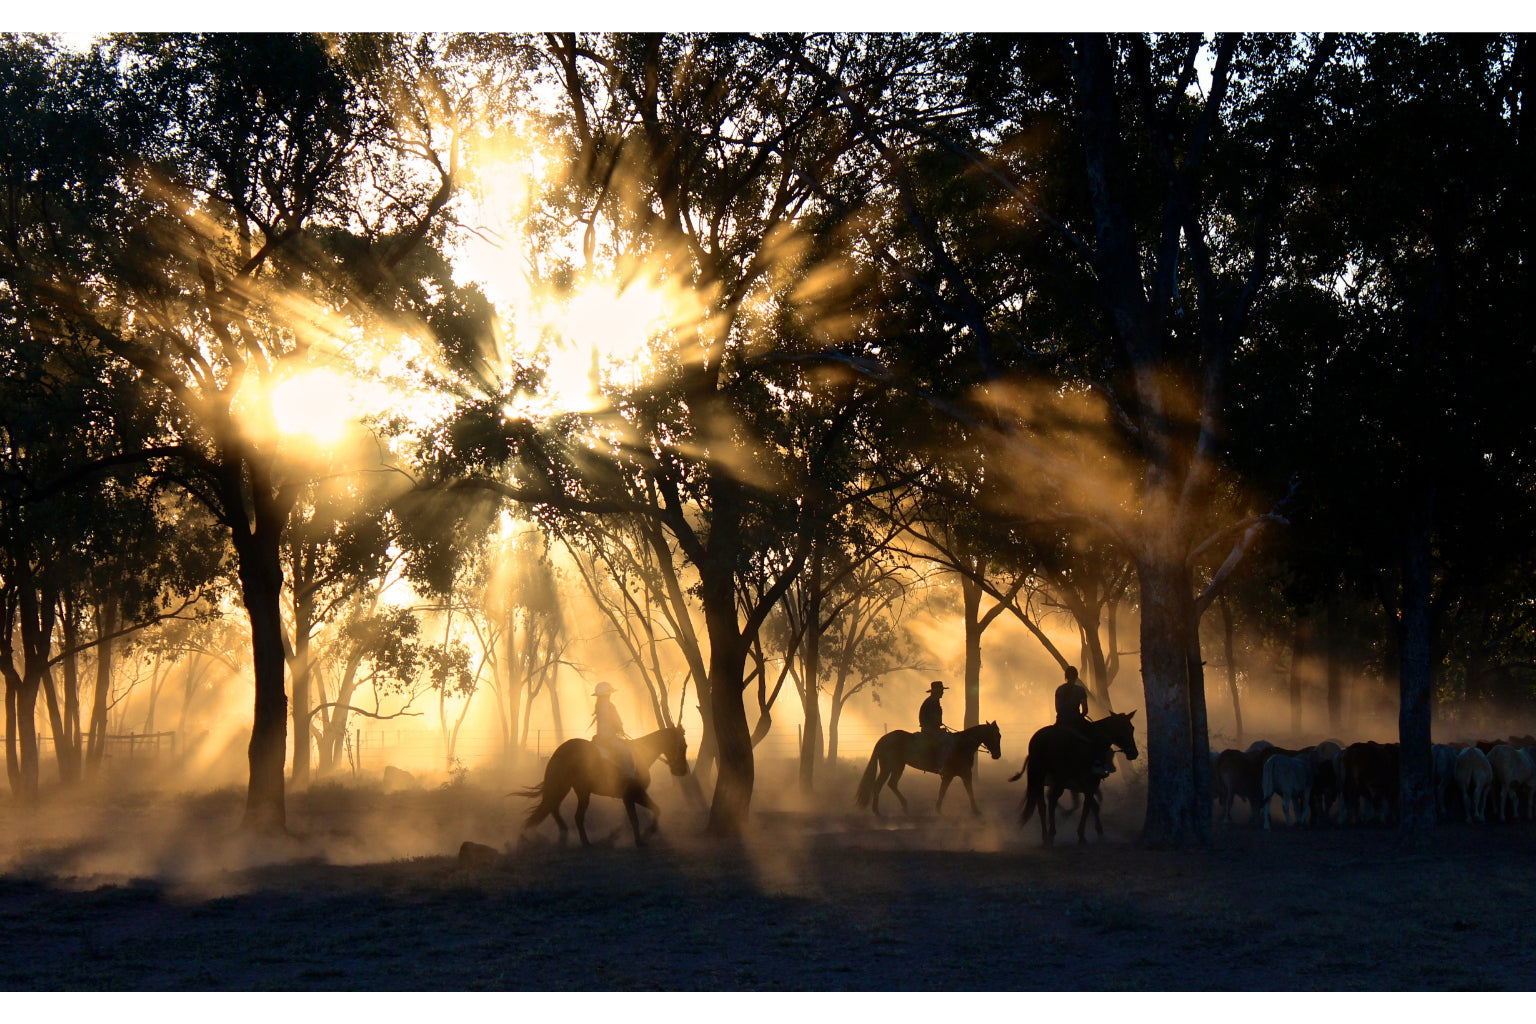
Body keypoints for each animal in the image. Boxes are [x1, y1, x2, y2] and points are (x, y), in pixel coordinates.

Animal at [519, 724, 688, 847]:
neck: (640, 754)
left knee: (554, 808)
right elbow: (636, 819)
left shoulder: (635, 795)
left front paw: (647, 833)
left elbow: (655, 810)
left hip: (567, 788)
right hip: (578, 791)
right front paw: (642, 838)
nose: (682, 770)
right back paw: (585, 843)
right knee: (575, 815)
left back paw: (565, 834)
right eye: (684, 746)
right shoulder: (631, 796)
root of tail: (560, 751)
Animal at [860, 721, 1001, 816]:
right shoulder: (958, 774)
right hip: (889, 767)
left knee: (890, 784)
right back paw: (878, 812)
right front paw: (976, 811)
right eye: (996, 735)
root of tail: (883, 739)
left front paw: (939, 809)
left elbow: (948, 791)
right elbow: (961, 791)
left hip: (897, 767)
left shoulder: (958, 774)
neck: (961, 745)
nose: (997, 755)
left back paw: (902, 806)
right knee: (880, 785)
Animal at [1013, 712, 1136, 847]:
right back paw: (1051, 834)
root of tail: (1043, 739)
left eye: (1132, 728)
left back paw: (1045, 836)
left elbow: (1093, 806)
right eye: (1126, 729)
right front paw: (1083, 835)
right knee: (1052, 800)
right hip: (1059, 779)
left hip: (1039, 778)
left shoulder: (1082, 785)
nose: (1134, 753)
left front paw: (1098, 832)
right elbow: (1087, 806)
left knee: (1041, 804)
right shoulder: (1091, 782)